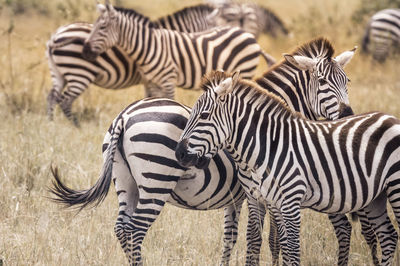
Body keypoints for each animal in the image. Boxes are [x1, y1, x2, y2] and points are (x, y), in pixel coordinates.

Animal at [48, 97, 247, 266]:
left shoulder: (235, 198)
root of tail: (124, 116)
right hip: (157, 179)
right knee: (135, 229)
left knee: (121, 228)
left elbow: (230, 237)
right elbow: (250, 236)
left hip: (125, 181)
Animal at [176, 70, 400, 266]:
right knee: (388, 236)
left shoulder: (291, 202)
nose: (179, 154)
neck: (267, 149)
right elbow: (268, 242)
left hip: (395, 186)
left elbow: (292, 248)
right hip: (375, 196)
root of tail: (390, 117)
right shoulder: (267, 201)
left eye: (204, 116)